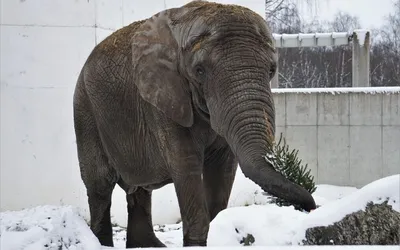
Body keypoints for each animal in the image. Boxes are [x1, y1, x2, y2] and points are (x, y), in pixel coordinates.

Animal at [72, 0, 316, 248]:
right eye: (200, 71)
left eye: (271, 70)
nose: (311, 207)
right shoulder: (163, 97)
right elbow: (186, 165)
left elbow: (222, 168)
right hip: (85, 110)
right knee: (100, 186)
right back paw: (102, 243)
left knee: (139, 190)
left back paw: (147, 245)